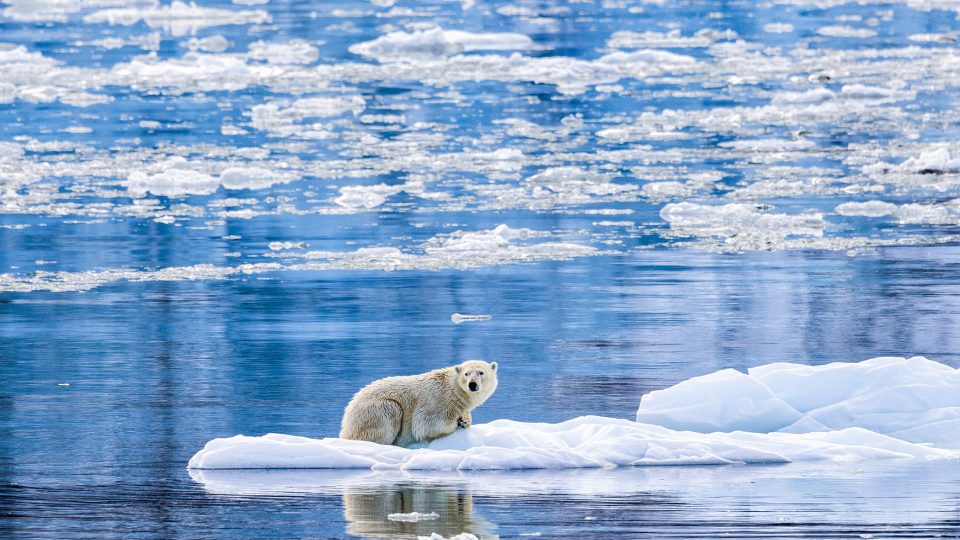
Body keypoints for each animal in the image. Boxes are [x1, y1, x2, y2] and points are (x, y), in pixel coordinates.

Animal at [342, 358, 498, 448]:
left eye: (481, 372)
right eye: (466, 374)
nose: (472, 384)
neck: (452, 390)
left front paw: (465, 419)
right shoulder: (436, 400)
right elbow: (426, 425)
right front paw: (456, 422)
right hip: (375, 410)